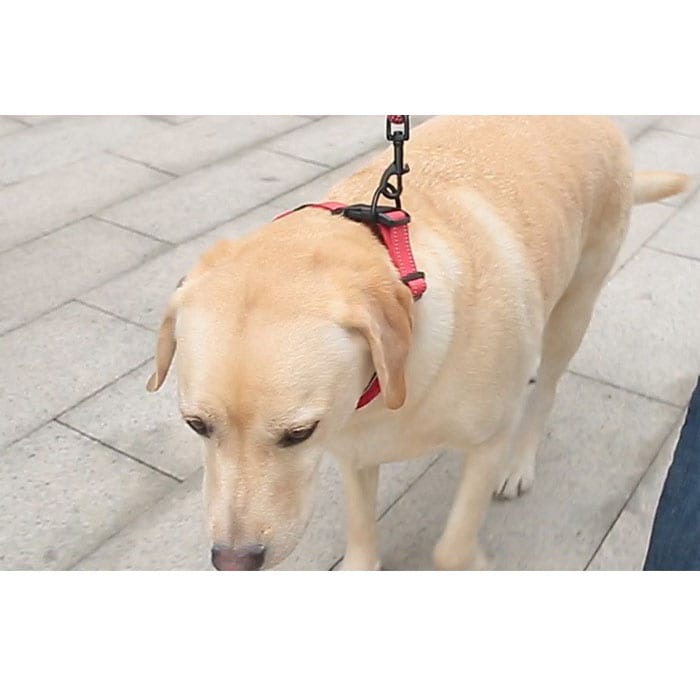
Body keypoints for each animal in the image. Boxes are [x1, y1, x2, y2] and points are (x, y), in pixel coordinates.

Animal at [146, 116, 689, 571]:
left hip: (575, 307)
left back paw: (520, 462)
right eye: (196, 425)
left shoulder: (487, 443)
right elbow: (361, 535)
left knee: (546, 391)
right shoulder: (353, 448)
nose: (232, 561)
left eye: (298, 434)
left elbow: (451, 550)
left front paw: (475, 563)